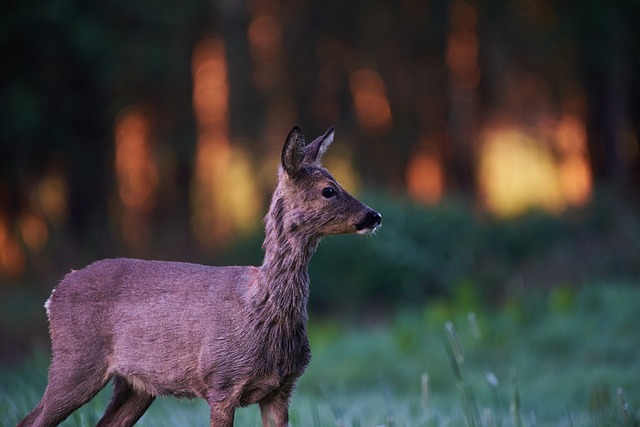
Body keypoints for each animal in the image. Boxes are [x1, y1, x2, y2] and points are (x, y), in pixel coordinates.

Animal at [18, 126, 380, 427]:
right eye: (328, 190)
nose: (373, 216)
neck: (262, 311)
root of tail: (54, 293)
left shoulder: (281, 390)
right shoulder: (221, 381)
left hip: (135, 386)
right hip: (75, 362)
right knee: (32, 421)